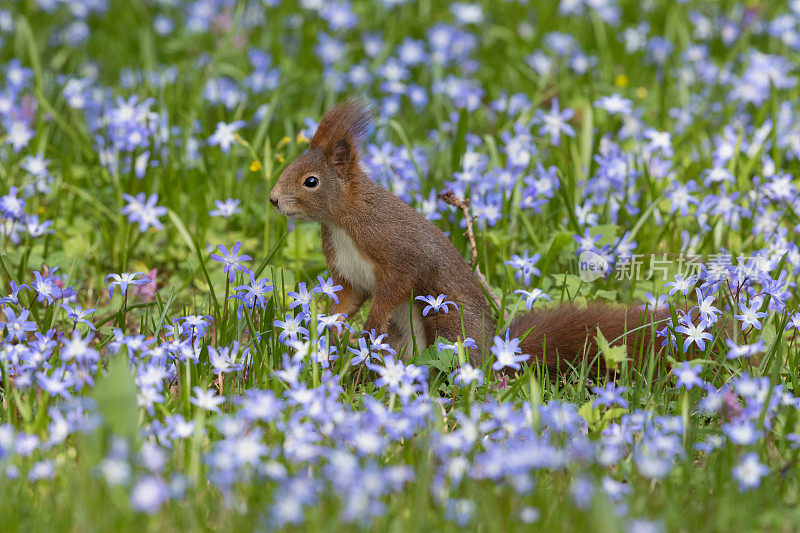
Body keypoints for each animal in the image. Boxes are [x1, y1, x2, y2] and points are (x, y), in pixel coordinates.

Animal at [268, 101, 664, 374]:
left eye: (311, 181)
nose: (273, 199)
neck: (343, 221)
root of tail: (495, 355)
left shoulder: (397, 253)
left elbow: (393, 290)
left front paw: (369, 327)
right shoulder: (349, 275)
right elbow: (347, 300)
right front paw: (327, 328)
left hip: (447, 322)